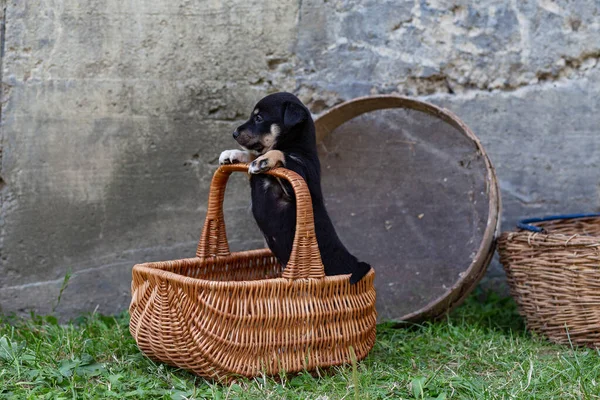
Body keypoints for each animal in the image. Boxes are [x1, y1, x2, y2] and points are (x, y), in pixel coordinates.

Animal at [219, 92, 370, 282]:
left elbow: (281, 155)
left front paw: (264, 160)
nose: (234, 133)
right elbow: (252, 156)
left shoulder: (300, 178)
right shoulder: (255, 176)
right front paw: (232, 154)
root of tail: (355, 263)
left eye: (259, 118)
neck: (294, 144)